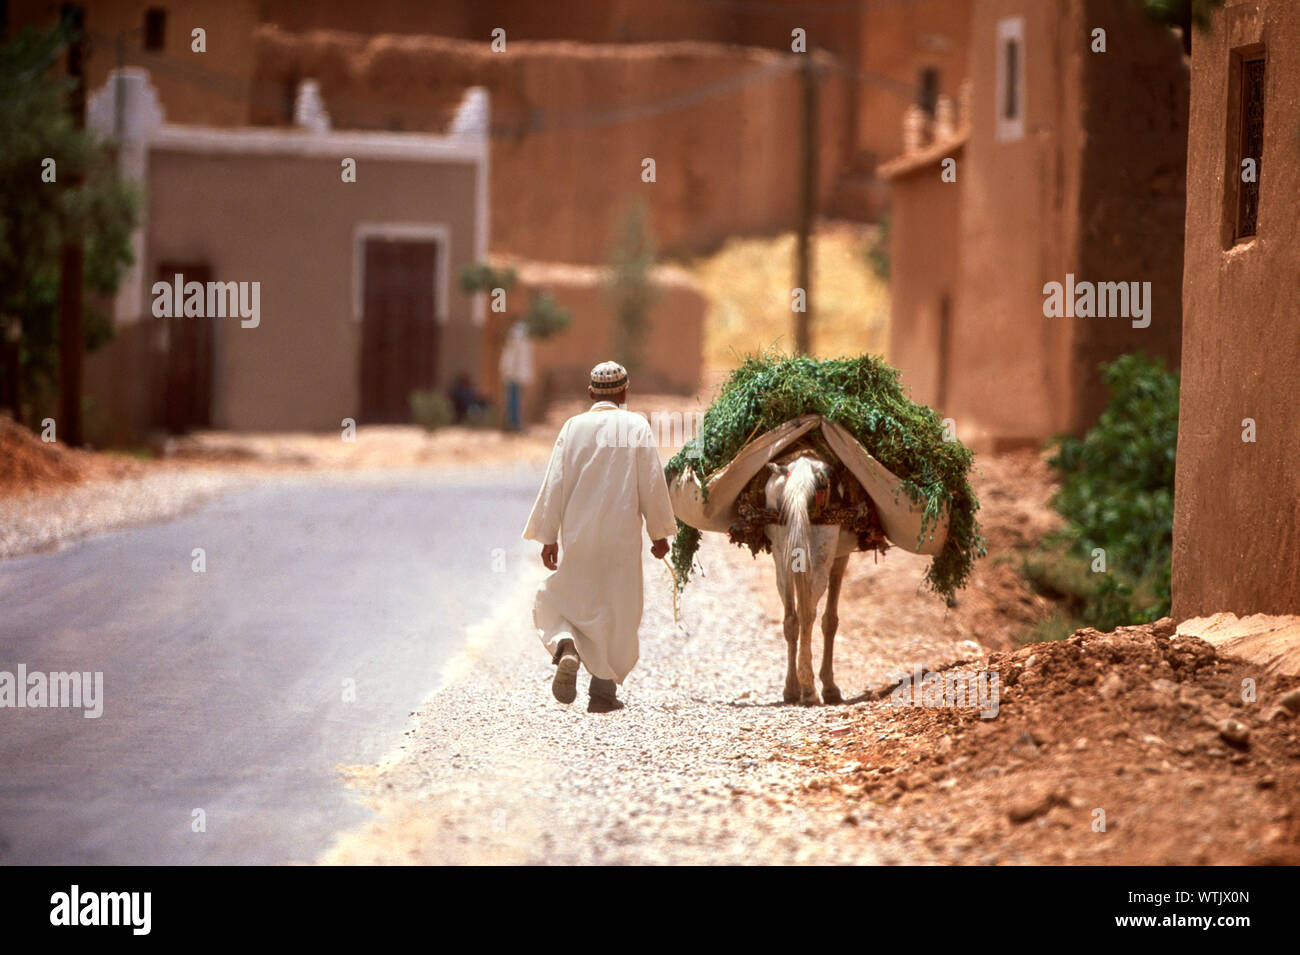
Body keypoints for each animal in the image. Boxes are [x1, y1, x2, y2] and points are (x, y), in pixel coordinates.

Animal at [764, 452, 857, 706]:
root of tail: (802, 469)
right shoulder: (840, 557)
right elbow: (830, 620)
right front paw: (830, 688)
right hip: (820, 552)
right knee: (807, 614)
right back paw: (809, 690)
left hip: (782, 553)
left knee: (791, 618)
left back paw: (791, 689)